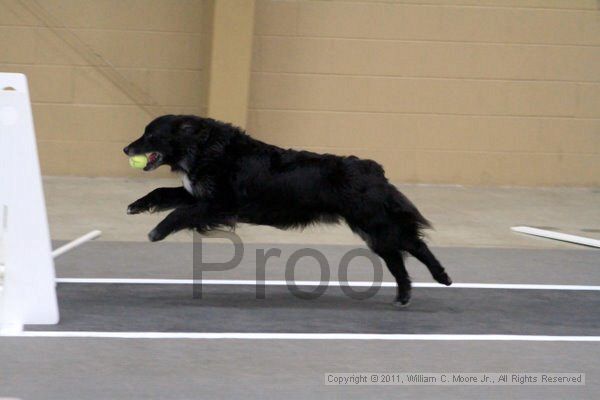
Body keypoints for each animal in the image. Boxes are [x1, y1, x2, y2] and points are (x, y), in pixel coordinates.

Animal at [123, 114, 450, 304]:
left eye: (150, 135)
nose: (126, 149)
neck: (207, 148)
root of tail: (375, 170)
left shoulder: (220, 205)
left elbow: (179, 214)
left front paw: (157, 231)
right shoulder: (199, 196)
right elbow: (163, 193)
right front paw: (137, 206)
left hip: (376, 222)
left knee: (414, 245)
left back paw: (441, 277)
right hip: (372, 229)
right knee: (398, 257)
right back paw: (404, 295)